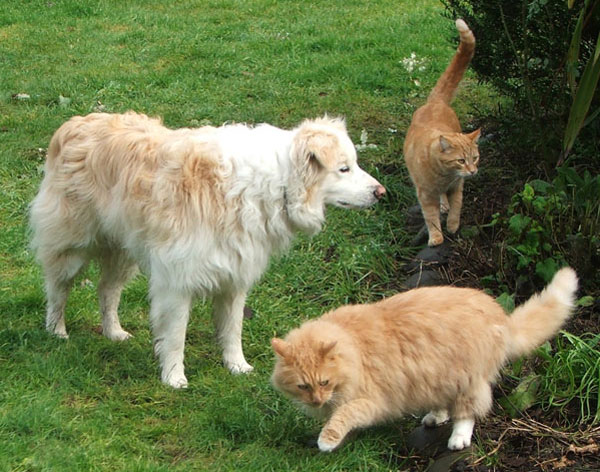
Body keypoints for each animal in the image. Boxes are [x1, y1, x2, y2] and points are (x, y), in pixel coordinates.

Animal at [29, 112, 384, 390]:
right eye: (344, 169)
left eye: (352, 165)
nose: (381, 193)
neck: (272, 183)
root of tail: (74, 124)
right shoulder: (176, 282)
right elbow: (175, 336)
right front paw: (174, 378)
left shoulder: (234, 279)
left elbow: (232, 330)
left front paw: (238, 367)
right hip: (72, 249)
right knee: (58, 289)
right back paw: (56, 332)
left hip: (122, 252)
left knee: (107, 291)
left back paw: (113, 332)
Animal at [270, 268, 576, 452]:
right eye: (303, 387)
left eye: (324, 382)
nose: (316, 401)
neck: (353, 349)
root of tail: (500, 315)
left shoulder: (371, 401)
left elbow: (344, 415)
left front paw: (327, 440)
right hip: (436, 377)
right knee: (444, 405)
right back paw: (434, 417)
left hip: (468, 381)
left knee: (467, 414)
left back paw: (458, 440)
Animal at [406, 19, 480, 245]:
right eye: (461, 160)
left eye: (475, 158)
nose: (473, 171)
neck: (444, 176)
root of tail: (436, 102)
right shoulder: (425, 194)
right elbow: (430, 217)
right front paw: (436, 237)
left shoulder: (458, 187)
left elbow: (457, 206)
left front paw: (453, 225)